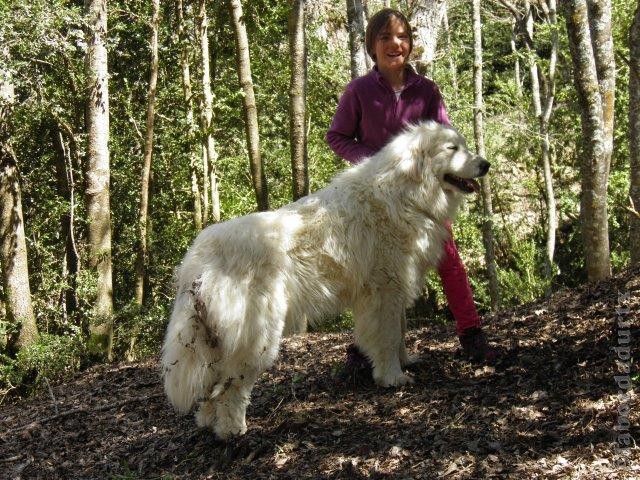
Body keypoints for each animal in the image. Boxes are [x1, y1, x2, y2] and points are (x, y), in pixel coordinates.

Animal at [161, 121, 490, 438]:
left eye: (463, 145)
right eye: (452, 148)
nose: (485, 165)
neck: (407, 193)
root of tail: (197, 258)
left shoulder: (394, 288)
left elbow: (399, 332)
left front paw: (405, 361)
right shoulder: (384, 291)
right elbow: (388, 337)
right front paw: (392, 377)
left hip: (214, 340)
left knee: (211, 388)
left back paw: (207, 422)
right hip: (255, 333)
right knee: (230, 387)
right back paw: (232, 430)